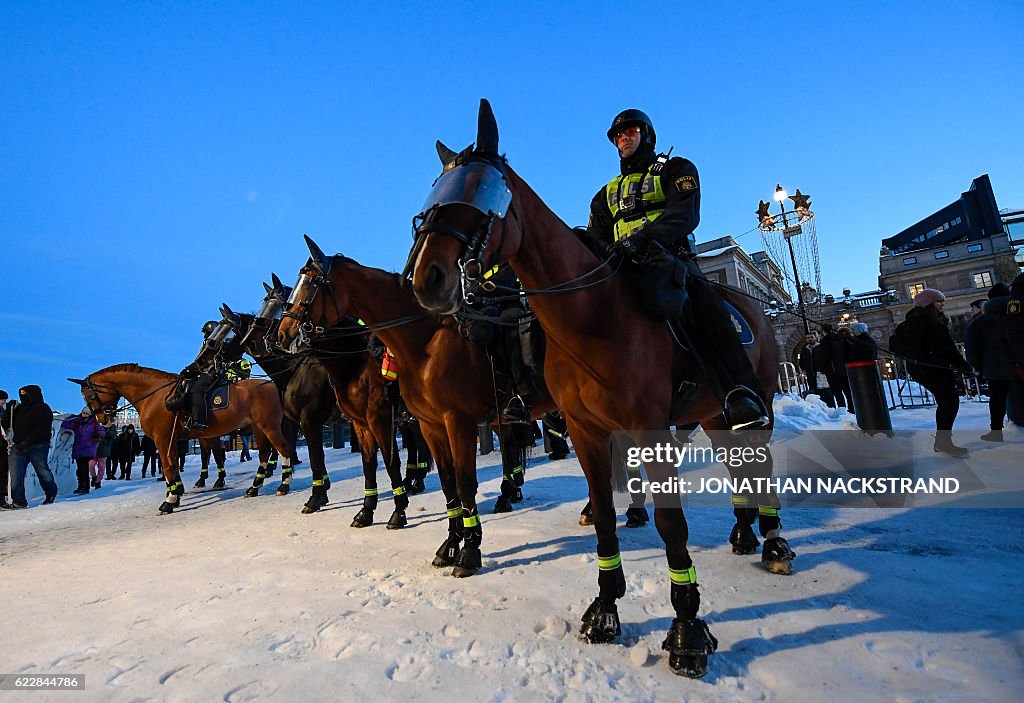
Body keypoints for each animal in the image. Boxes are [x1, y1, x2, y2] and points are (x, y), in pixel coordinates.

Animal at [71, 366, 296, 513]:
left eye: (88, 396)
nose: (103, 419)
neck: (156, 396)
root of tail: (272, 384)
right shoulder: (172, 440)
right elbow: (173, 466)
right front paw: (176, 493)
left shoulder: (162, 439)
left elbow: (168, 466)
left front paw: (170, 500)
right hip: (259, 428)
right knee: (265, 454)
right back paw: (254, 487)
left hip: (269, 426)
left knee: (283, 449)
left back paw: (283, 485)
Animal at [276, 243, 557, 577]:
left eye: (312, 284)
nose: (281, 334)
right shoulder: (406, 424)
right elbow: (428, 478)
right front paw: (447, 544)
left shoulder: (433, 421)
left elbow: (445, 477)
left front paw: (466, 549)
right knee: (512, 446)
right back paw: (508, 493)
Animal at [407, 99, 790, 675]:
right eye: (433, 196)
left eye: (479, 191)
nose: (425, 278)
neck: (594, 316)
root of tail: (754, 306)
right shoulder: (585, 430)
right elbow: (605, 515)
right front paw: (606, 607)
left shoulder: (650, 430)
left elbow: (671, 525)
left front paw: (686, 629)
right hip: (711, 413)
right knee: (737, 467)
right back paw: (745, 532)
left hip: (755, 401)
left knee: (759, 466)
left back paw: (772, 542)